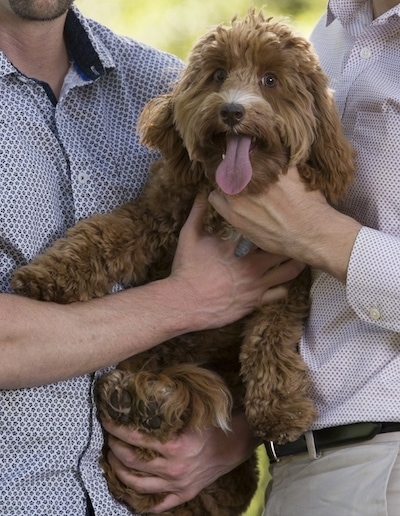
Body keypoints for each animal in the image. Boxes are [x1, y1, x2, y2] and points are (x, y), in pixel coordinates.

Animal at [11, 9, 354, 516]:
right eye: (217, 75)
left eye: (271, 80)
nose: (231, 111)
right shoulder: (156, 214)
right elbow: (104, 236)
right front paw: (48, 277)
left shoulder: (289, 278)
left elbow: (270, 340)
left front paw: (278, 410)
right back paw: (137, 400)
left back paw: (147, 403)